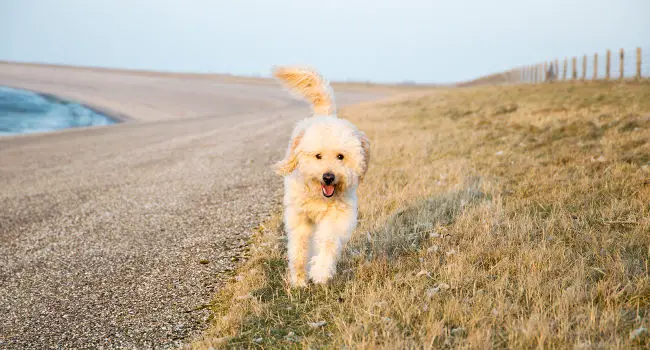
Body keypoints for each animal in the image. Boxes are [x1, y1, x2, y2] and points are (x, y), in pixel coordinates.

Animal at [270, 66, 370, 288]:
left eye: (341, 156)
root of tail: (325, 116)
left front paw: (321, 272)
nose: (329, 177)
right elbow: (299, 248)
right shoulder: (299, 217)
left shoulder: (337, 216)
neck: (319, 196)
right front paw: (299, 279)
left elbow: (328, 242)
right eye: (318, 156)